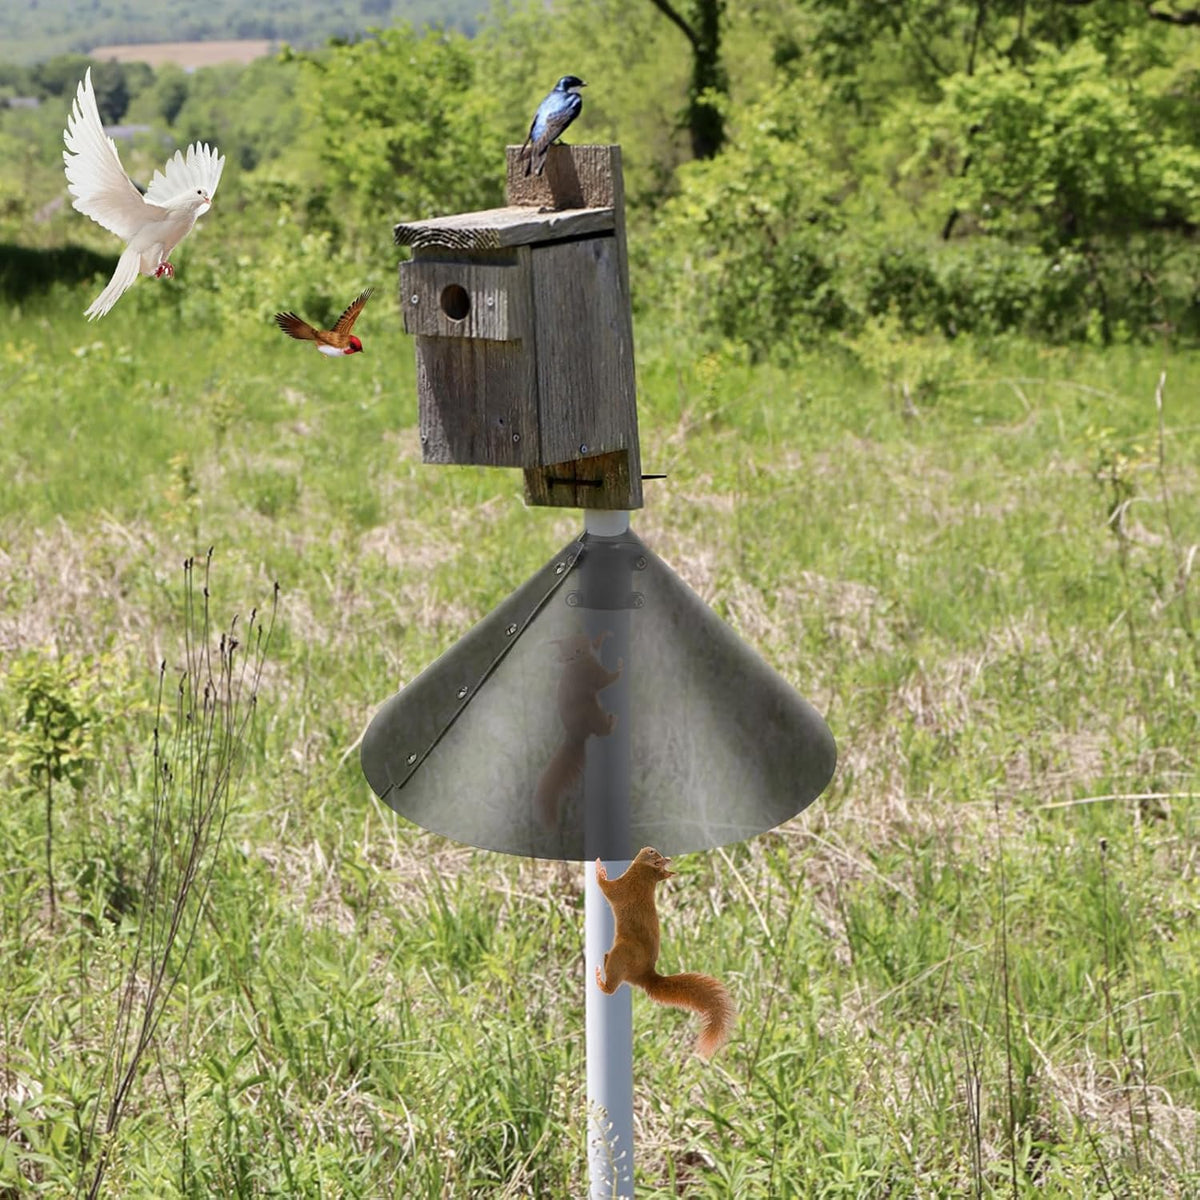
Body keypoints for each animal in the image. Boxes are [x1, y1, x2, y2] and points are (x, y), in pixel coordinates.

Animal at [533, 631, 622, 828]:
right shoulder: (591, 675)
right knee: (602, 731)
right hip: (593, 713)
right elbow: (606, 680)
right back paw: (613, 721)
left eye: (574, 639)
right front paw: (620, 667)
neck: (582, 660)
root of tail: (575, 735)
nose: (577, 652)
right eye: (568, 656)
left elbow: (598, 644)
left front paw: (605, 635)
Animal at [595, 847, 735, 1059]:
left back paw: (600, 977)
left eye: (652, 852)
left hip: (622, 954)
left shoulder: (623, 889)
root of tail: (646, 976)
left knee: (610, 988)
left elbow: (606, 887)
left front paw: (599, 870)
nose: (647, 848)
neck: (645, 878)